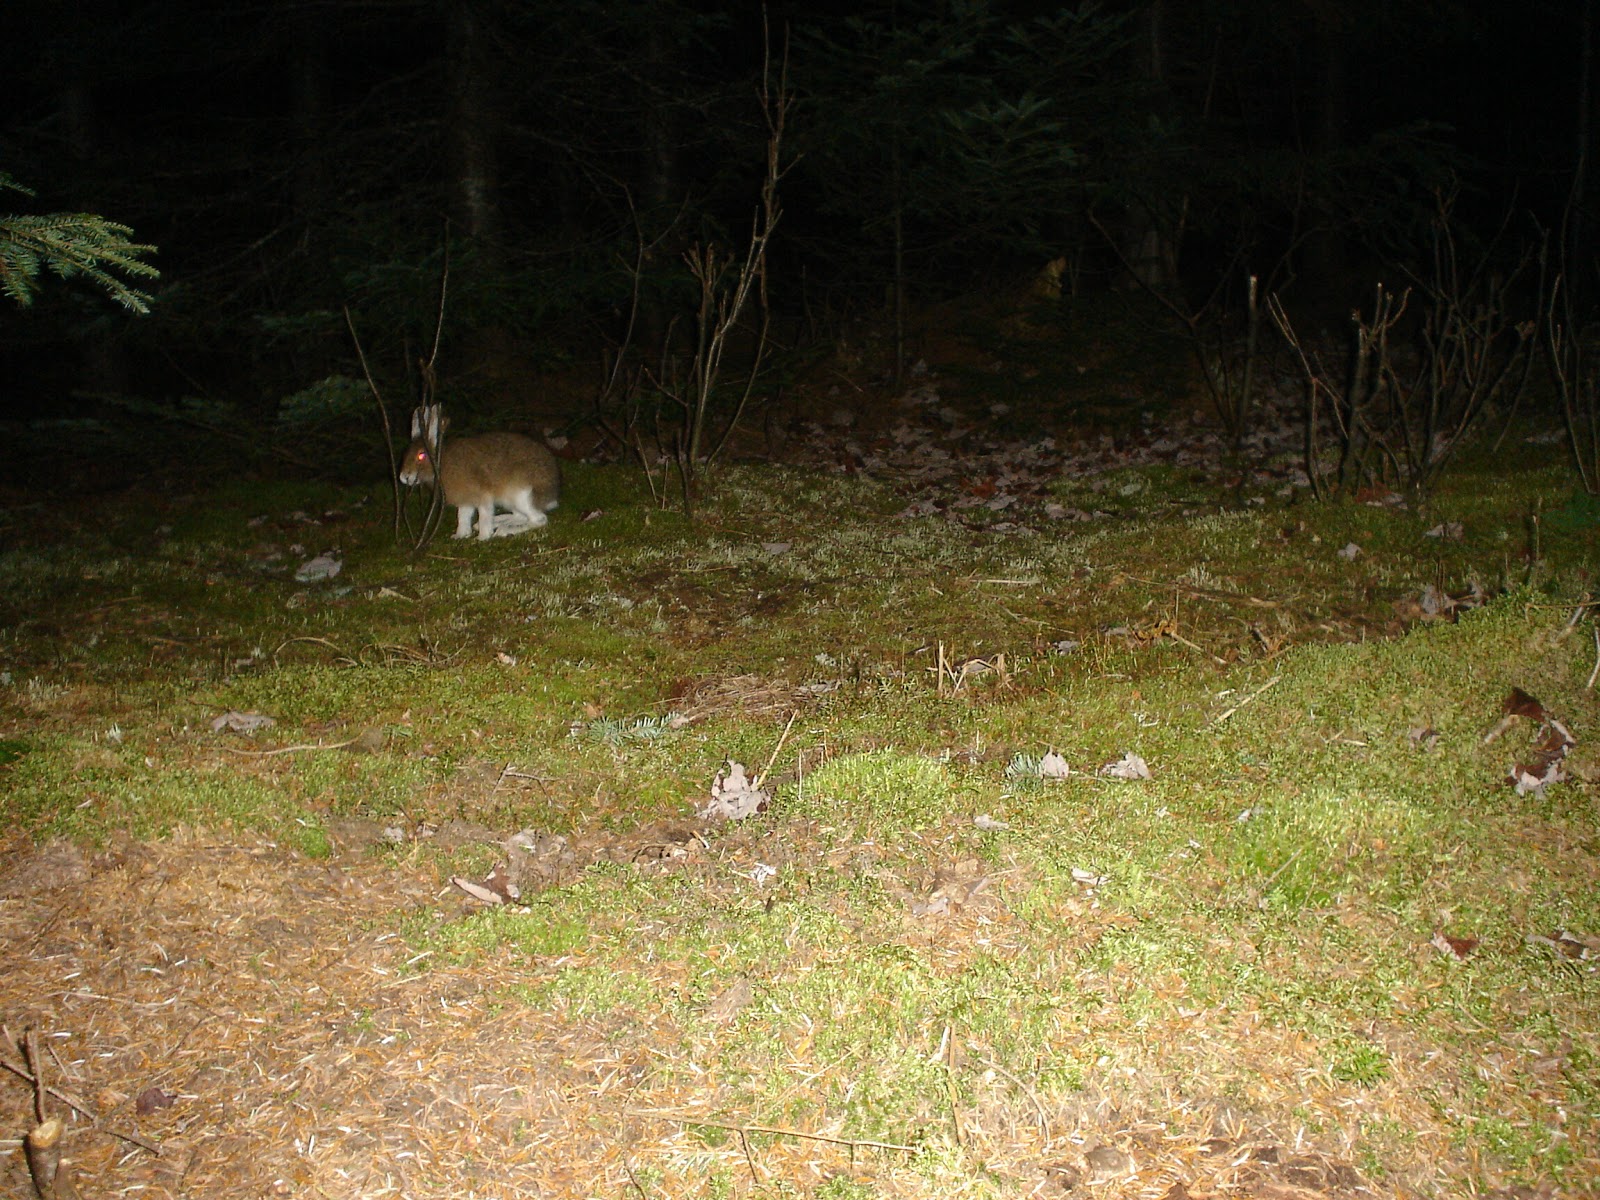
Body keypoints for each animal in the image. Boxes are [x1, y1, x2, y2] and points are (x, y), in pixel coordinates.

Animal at [398, 405, 561, 540]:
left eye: (421, 455)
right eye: (405, 452)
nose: (403, 477)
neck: (441, 463)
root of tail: (551, 496)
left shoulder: (483, 496)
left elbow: (484, 515)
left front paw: (482, 538)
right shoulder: (465, 501)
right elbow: (462, 517)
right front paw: (460, 535)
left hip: (521, 495)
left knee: (538, 519)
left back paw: (504, 530)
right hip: (510, 500)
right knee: (520, 516)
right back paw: (495, 523)